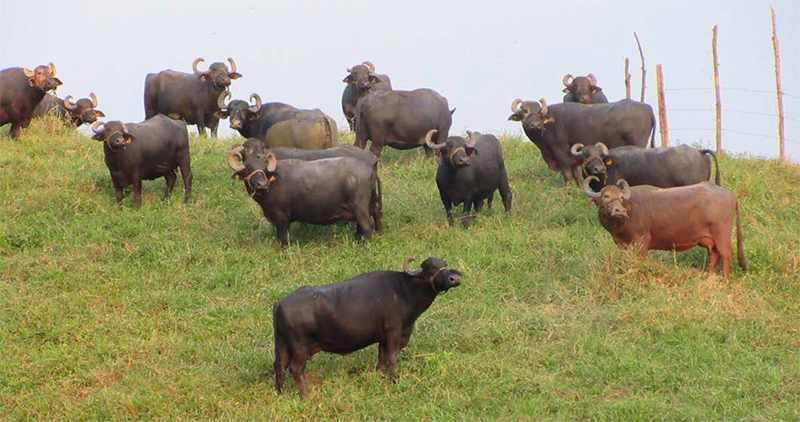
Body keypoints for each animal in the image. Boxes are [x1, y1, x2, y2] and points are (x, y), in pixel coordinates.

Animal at [227, 142, 379, 247]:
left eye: (265, 167)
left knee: (367, 227)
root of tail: (369, 167)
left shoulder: (281, 218)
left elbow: (283, 238)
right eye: (248, 167)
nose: (262, 183)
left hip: (360, 208)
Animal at [273, 256, 462, 398]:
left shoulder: (383, 337)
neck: (404, 291)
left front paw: (381, 375)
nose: (455, 278)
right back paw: (304, 395)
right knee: (295, 370)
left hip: (281, 345)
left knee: (279, 366)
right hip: (299, 348)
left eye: (444, 264)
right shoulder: (394, 331)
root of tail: (280, 304)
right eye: (431, 268)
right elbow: (392, 356)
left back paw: (280, 393)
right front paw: (394, 379)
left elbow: (381, 357)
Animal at [508, 98, 655, 186]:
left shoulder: (560, 151)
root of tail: (648, 108)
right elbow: (576, 174)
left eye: (539, 112)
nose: (535, 125)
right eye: (524, 111)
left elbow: (567, 173)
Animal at [582, 177, 745, 279]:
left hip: (721, 234)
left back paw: (724, 279)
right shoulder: (621, 244)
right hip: (711, 239)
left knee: (726, 254)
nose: (619, 211)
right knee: (714, 255)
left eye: (621, 198)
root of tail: (730, 194)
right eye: (606, 196)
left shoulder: (641, 241)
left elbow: (643, 260)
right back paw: (709, 277)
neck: (620, 223)